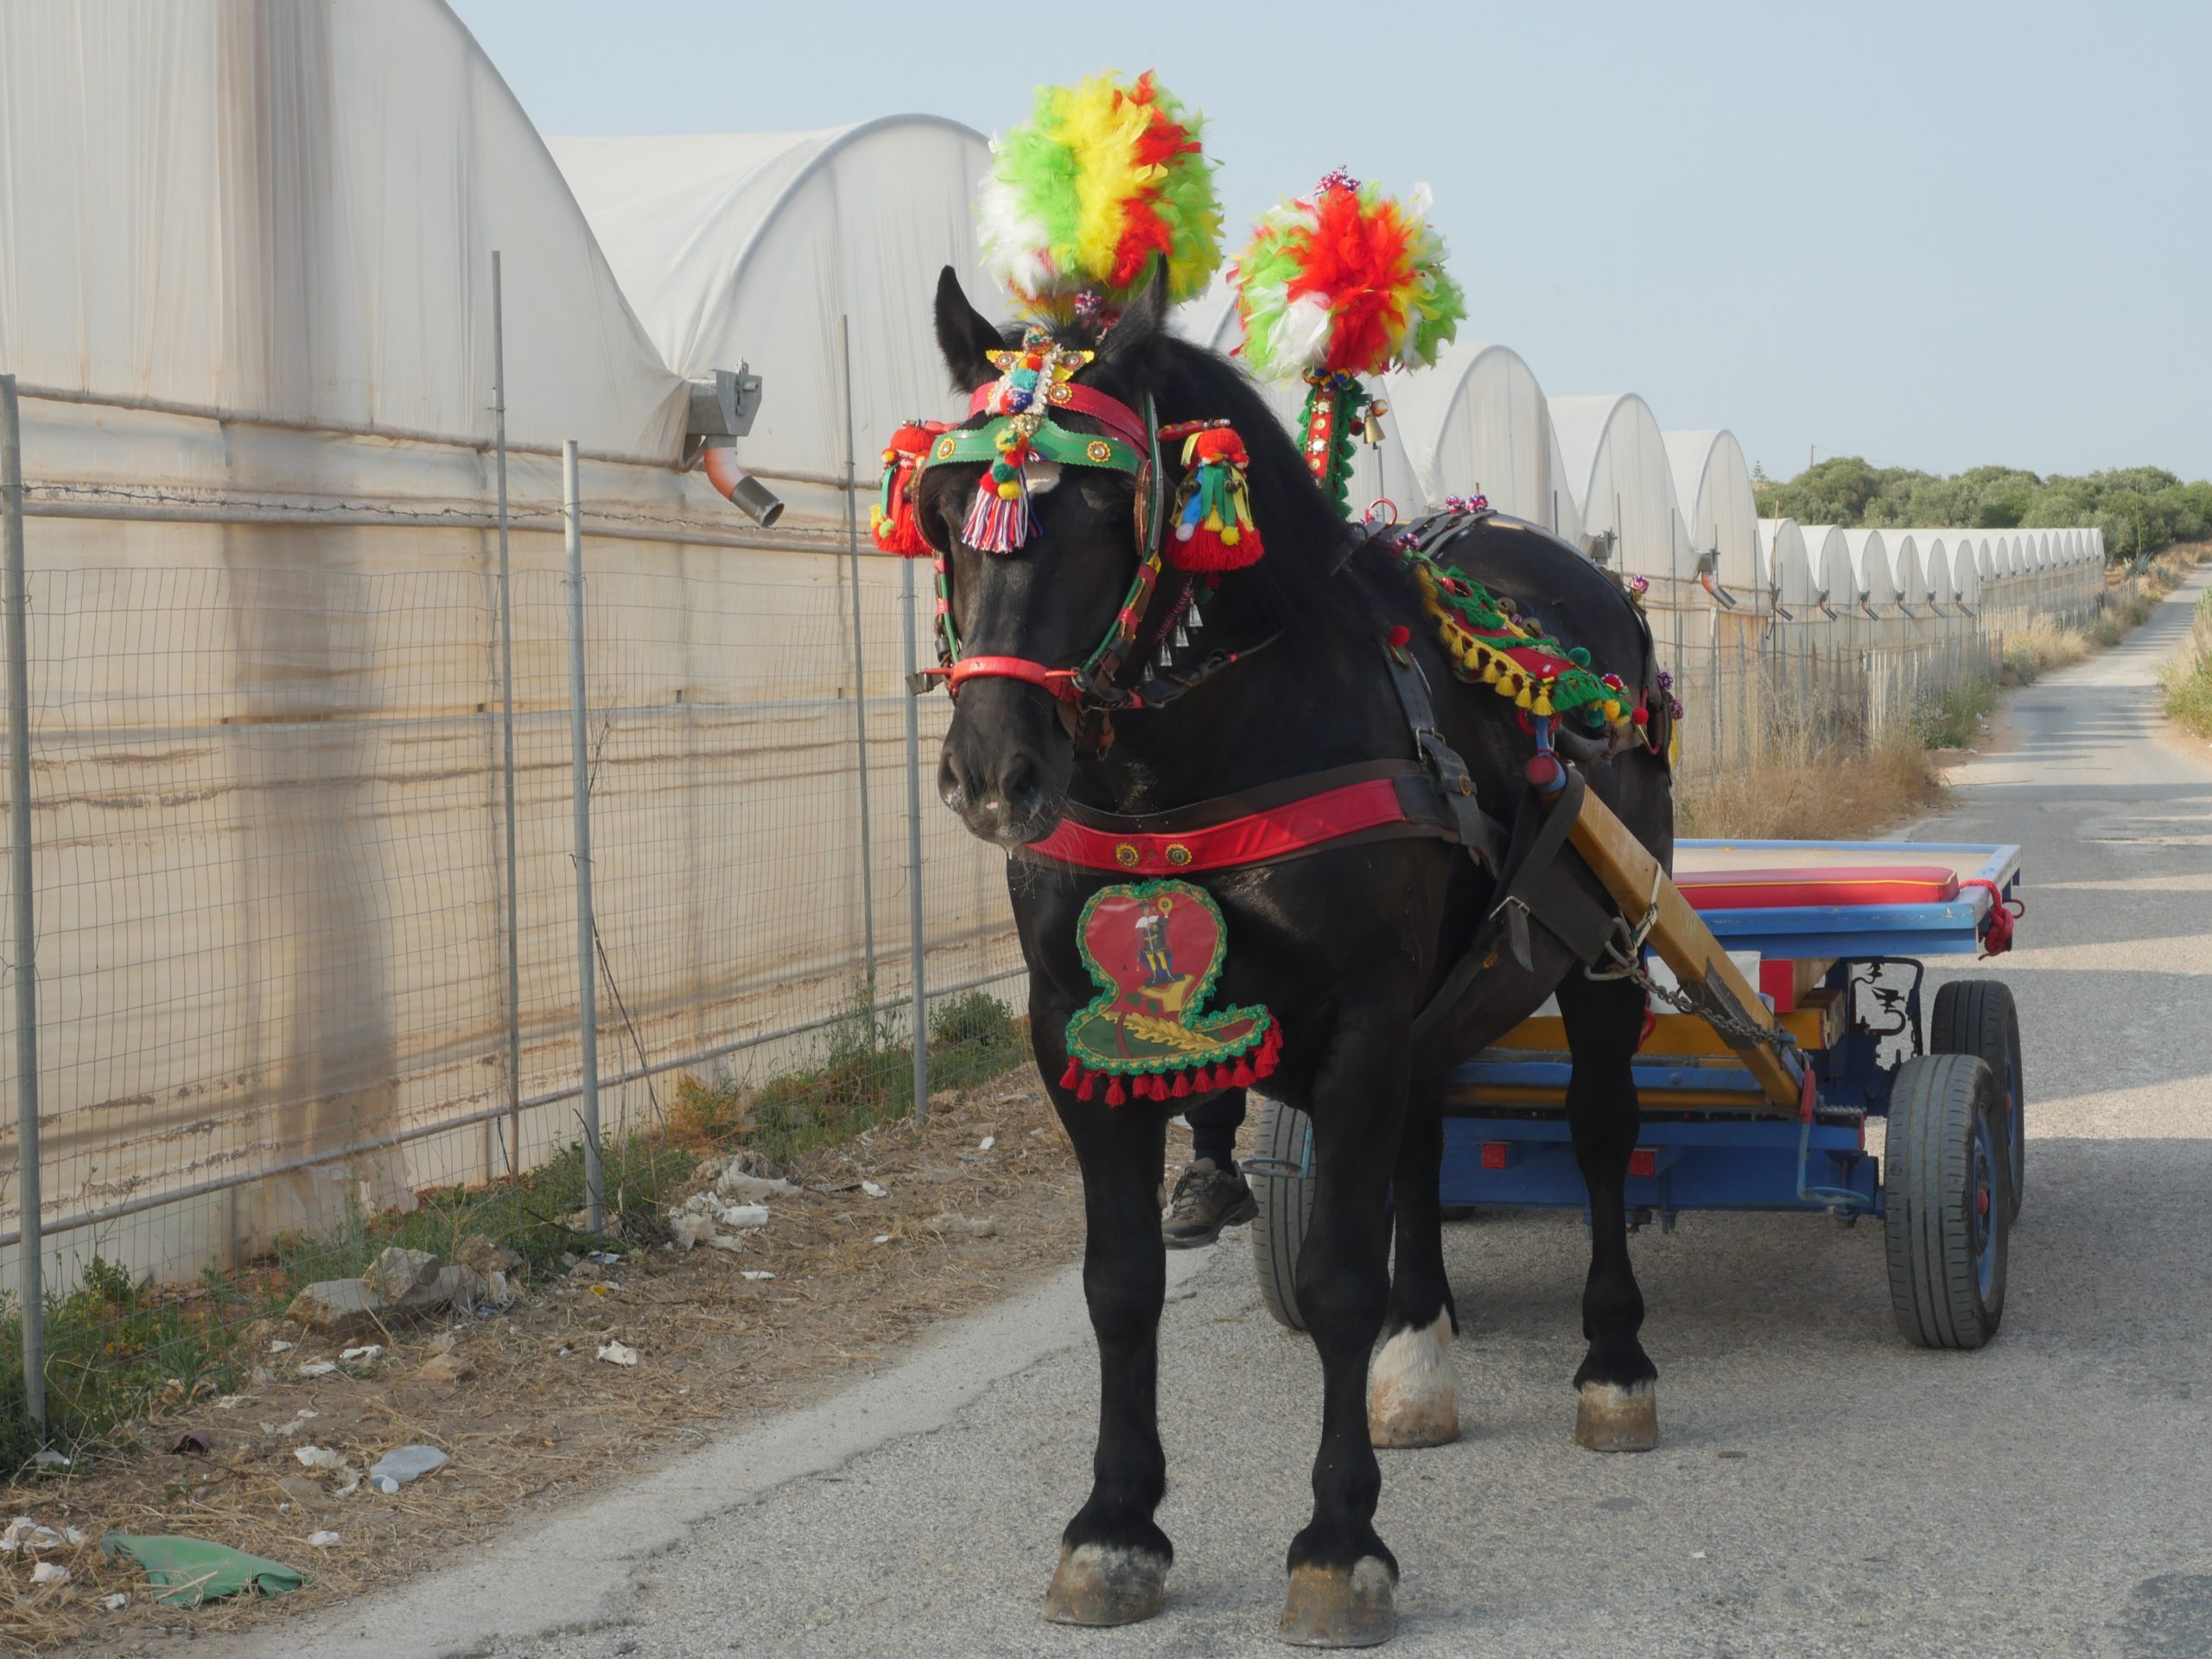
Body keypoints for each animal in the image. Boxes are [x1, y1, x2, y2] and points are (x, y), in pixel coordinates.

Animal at [916, 261, 1675, 1647]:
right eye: (942, 513)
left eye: (1105, 511)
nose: (993, 775)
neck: (1194, 759)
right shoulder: (1071, 1031)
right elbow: (1120, 1284)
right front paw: (1114, 1524)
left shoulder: (1360, 1021)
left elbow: (1331, 1280)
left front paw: (1340, 1541)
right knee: (1424, 1138)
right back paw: (1418, 1353)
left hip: (1597, 945)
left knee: (1601, 1132)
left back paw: (1613, 1364)